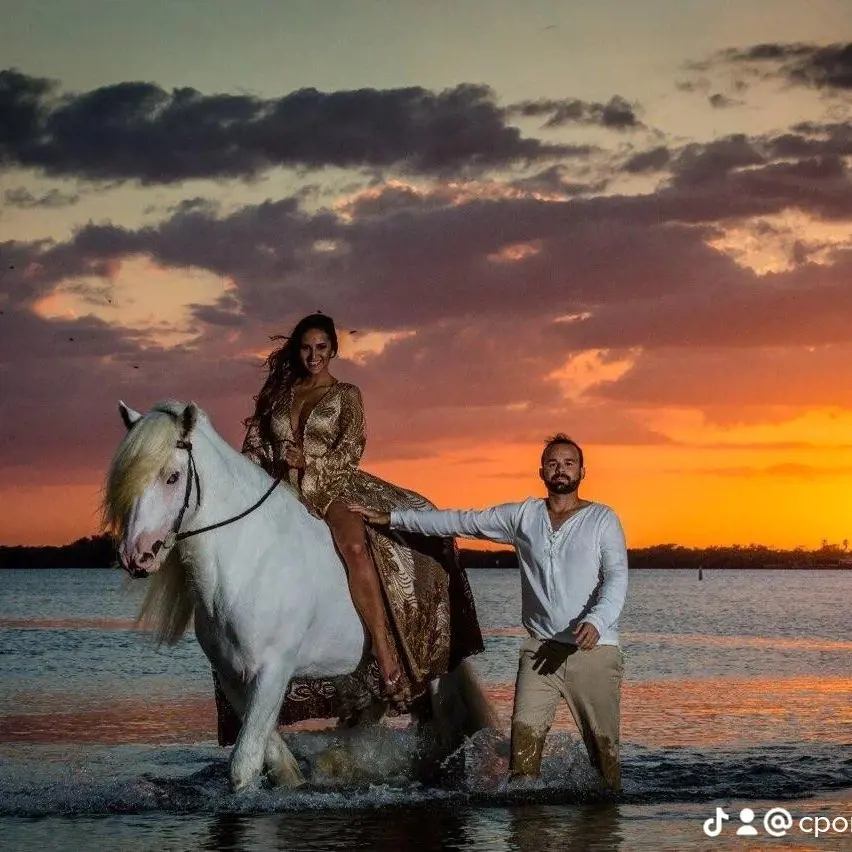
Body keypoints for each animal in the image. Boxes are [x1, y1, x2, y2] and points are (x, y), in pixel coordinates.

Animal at [105, 400, 492, 792]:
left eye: (172, 476)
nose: (135, 555)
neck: (248, 558)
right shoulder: (233, 678)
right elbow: (272, 757)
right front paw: (296, 779)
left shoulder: (272, 670)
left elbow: (243, 765)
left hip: (436, 667)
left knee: (444, 731)